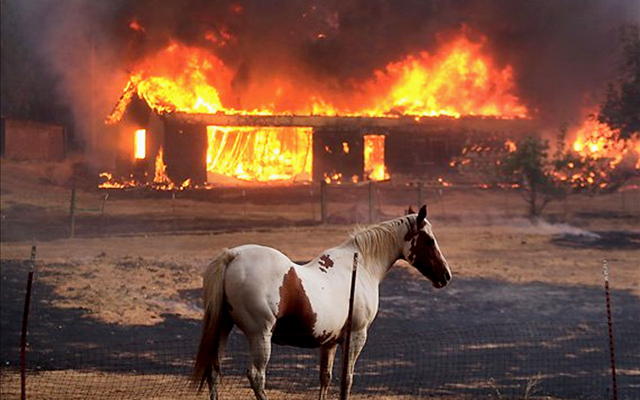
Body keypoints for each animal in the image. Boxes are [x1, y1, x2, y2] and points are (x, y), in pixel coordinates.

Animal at [192, 204, 452, 400]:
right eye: (429, 240)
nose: (446, 275)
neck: (359, 266)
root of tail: (233, 255)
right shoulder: (357, 335)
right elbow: (347, 378)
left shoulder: (330, 342)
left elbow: (325, 378)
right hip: (260, 335)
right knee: (256, 376)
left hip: (223, 327)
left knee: (213, 370)